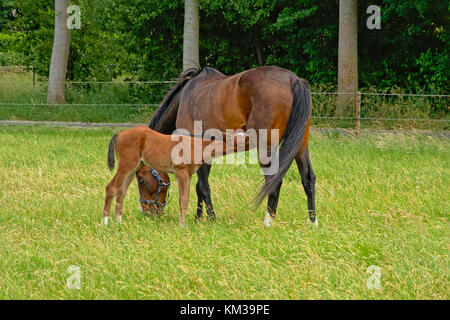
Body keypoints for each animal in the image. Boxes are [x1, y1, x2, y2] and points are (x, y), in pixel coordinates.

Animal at [137, 65, 316, 225]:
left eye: (141, 180)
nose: (148, 214)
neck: (184, 98)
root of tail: (294, 80)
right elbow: (200, 186)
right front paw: (198, 218)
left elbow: (202, 185)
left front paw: (211, 218)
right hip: (300, 145)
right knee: (308, 178)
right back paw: (312, 222)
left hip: (266, 147)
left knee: (274, 181)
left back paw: (268, 222)